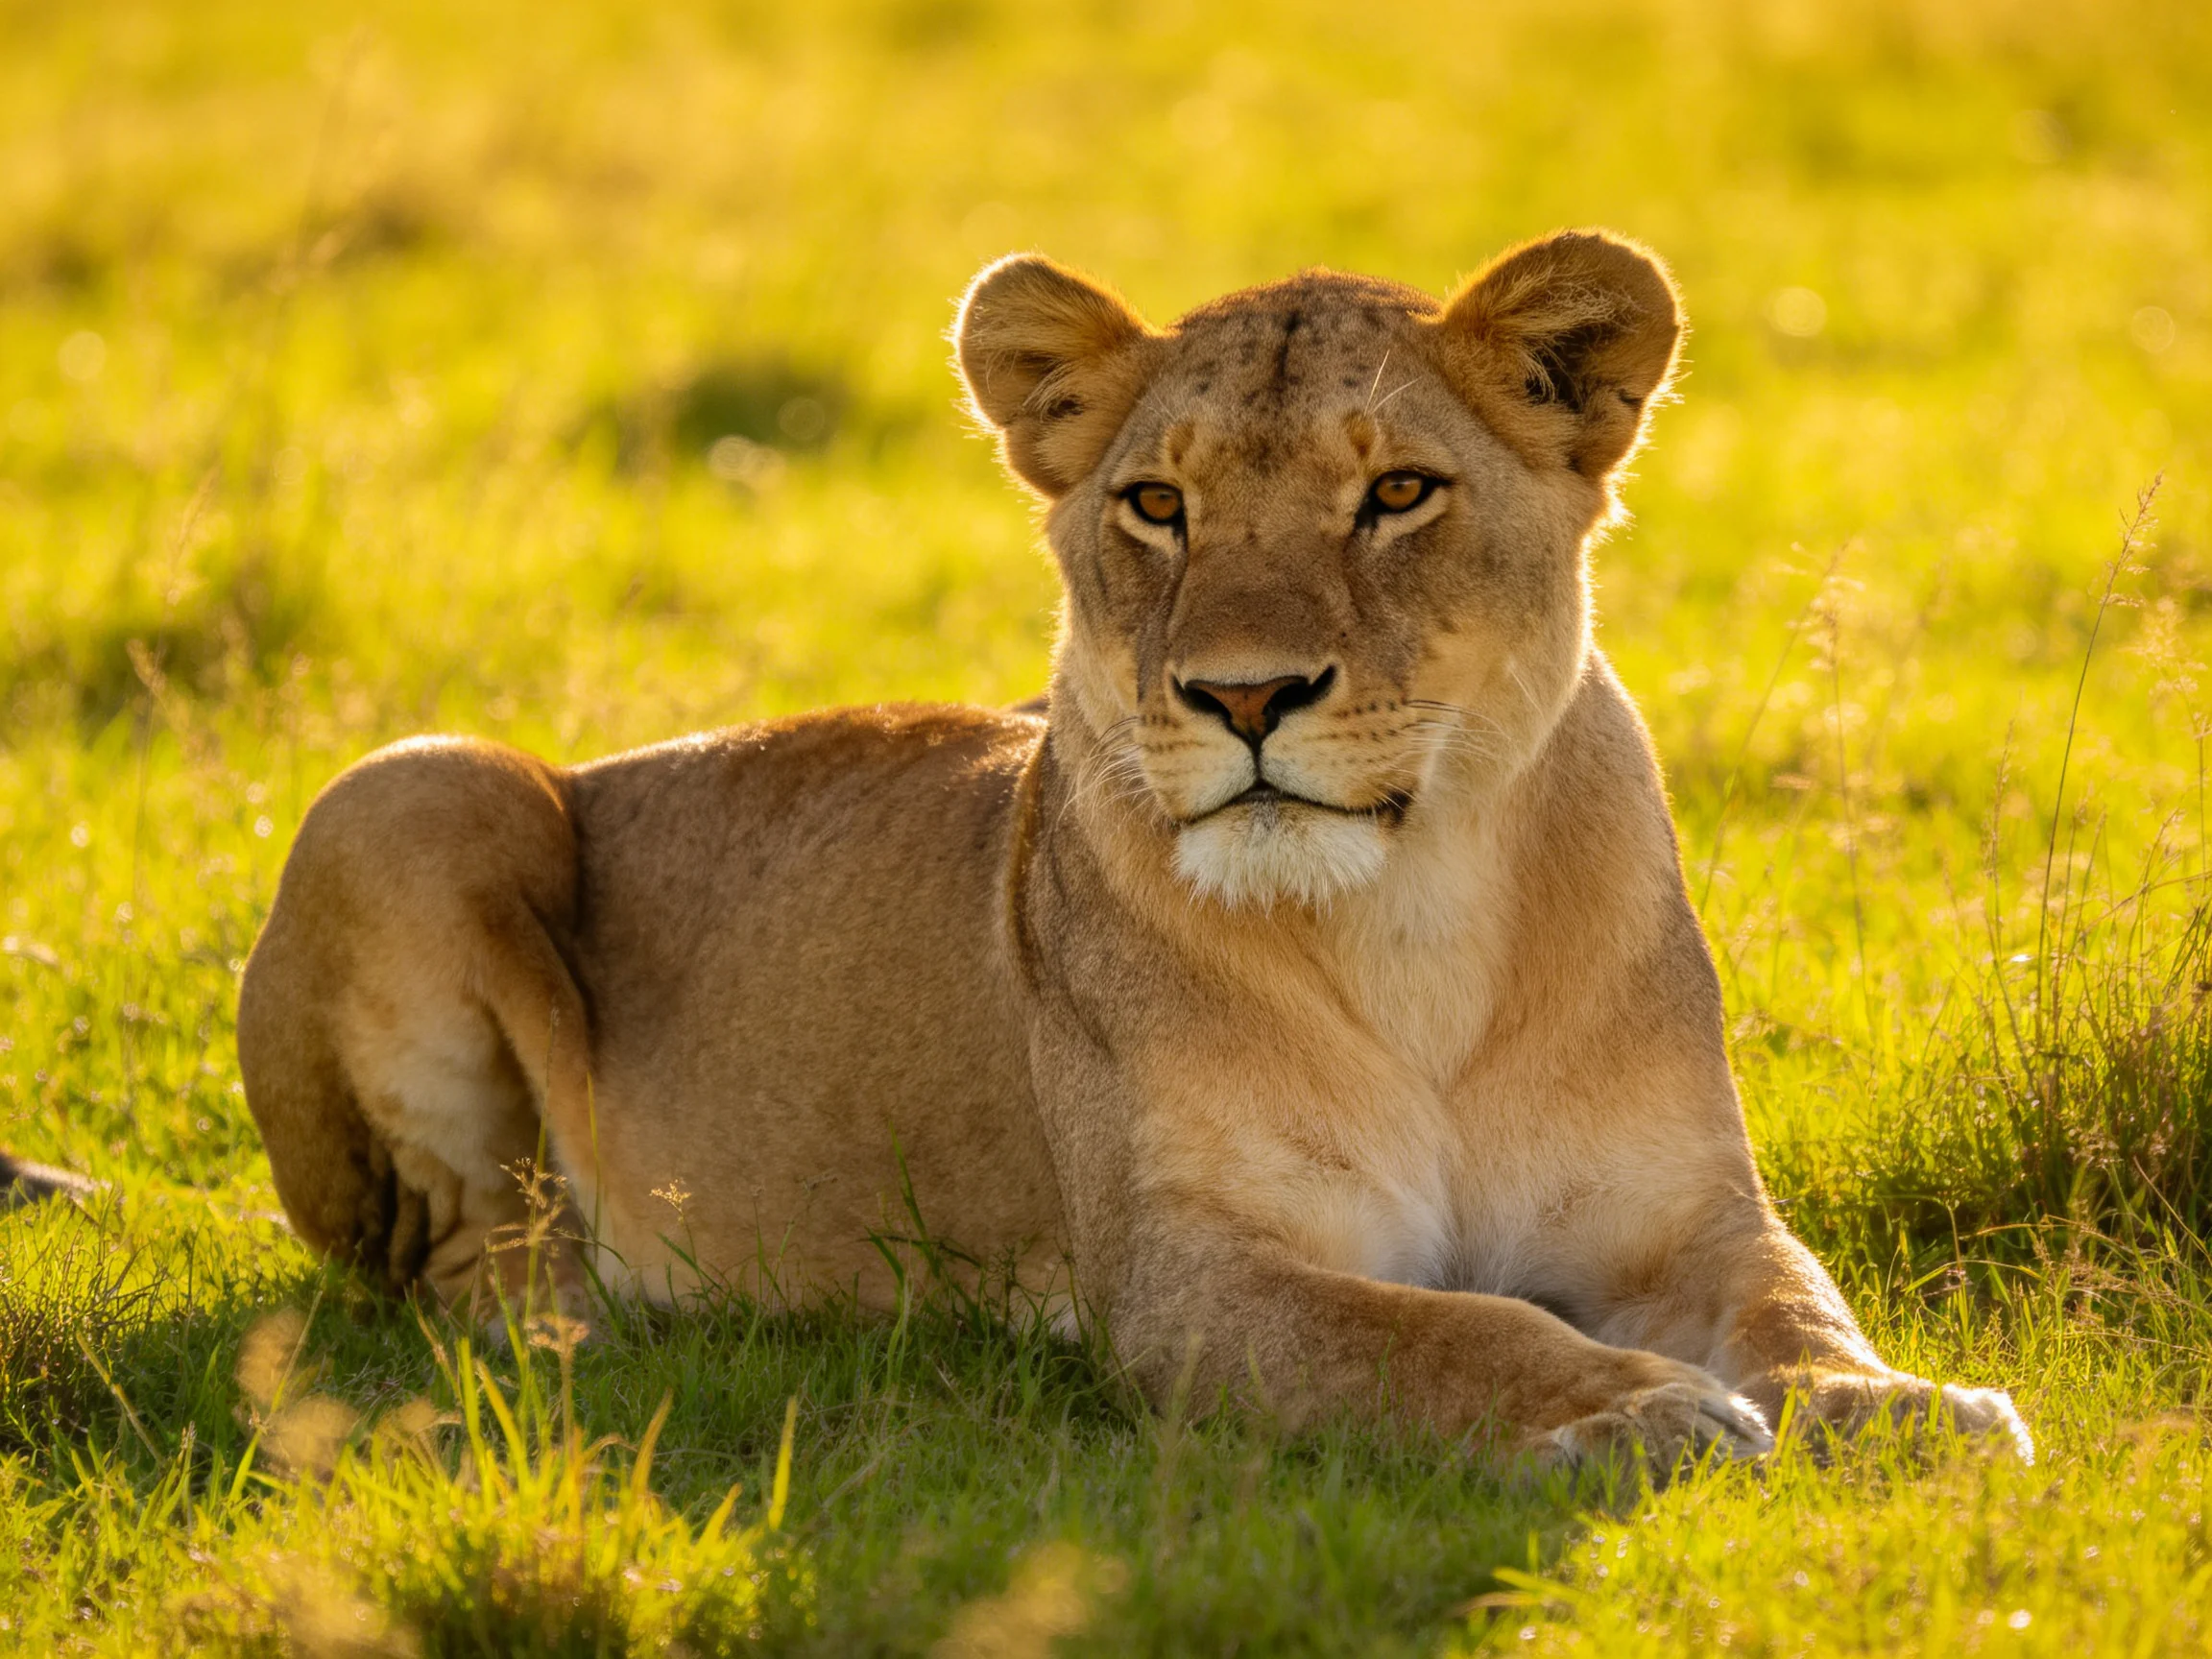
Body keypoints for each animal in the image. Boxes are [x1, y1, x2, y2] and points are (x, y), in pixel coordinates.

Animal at [236, 230, 2031, 1471]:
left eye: (1398, 492)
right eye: (1156, 505)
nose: (1242, 694)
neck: (1412, 925)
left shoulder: (1681, 1216)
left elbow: (1792, 1300)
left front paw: (1893, 1407)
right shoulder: (1187, 1279)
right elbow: (1450, 1330)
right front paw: (1636, 1418)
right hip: (418, 783)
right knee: (456, 1263)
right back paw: (616, 1320)